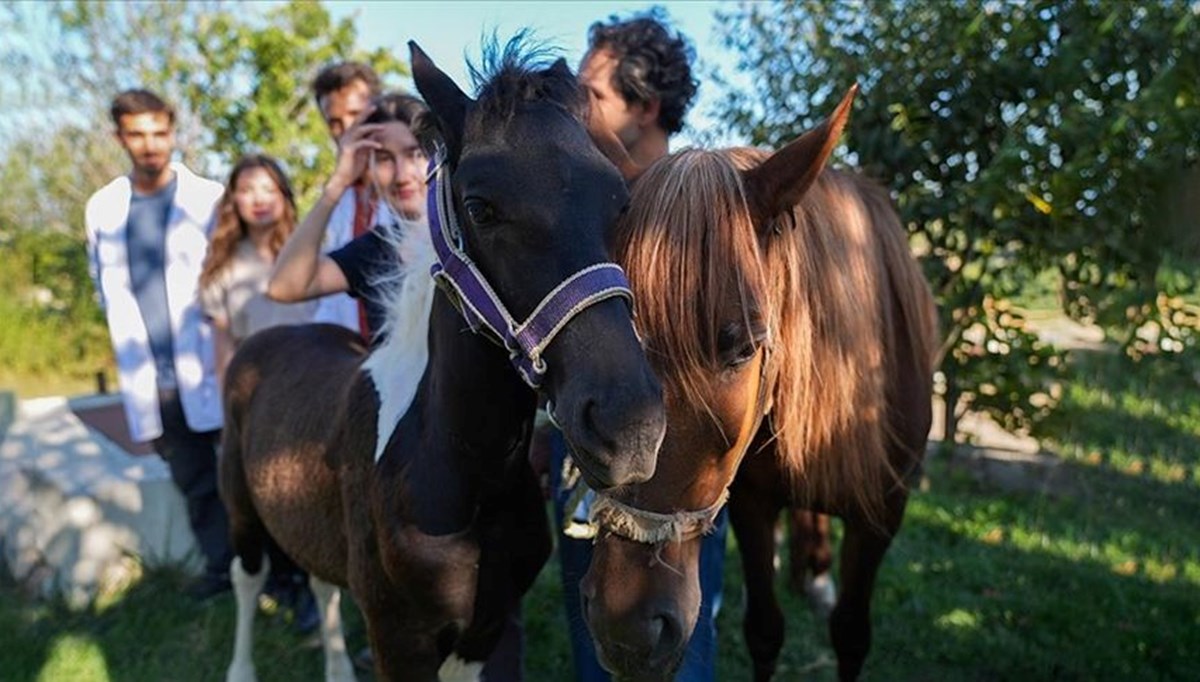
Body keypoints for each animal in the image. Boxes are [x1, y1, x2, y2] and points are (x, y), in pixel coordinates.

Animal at [218, 41, 667, 682]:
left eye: (620, 202)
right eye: (480, 208)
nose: (629, 428)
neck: (464, 472)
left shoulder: (487, 628)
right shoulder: (398, 637)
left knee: (320, 582)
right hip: (239, 508)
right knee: (247, 578)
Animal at [580, 87, 936, 677]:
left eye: (743, 349)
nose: (625, 629)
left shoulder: (883, 514)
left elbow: (851, 634)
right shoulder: (751, 502)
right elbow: (765, 630)